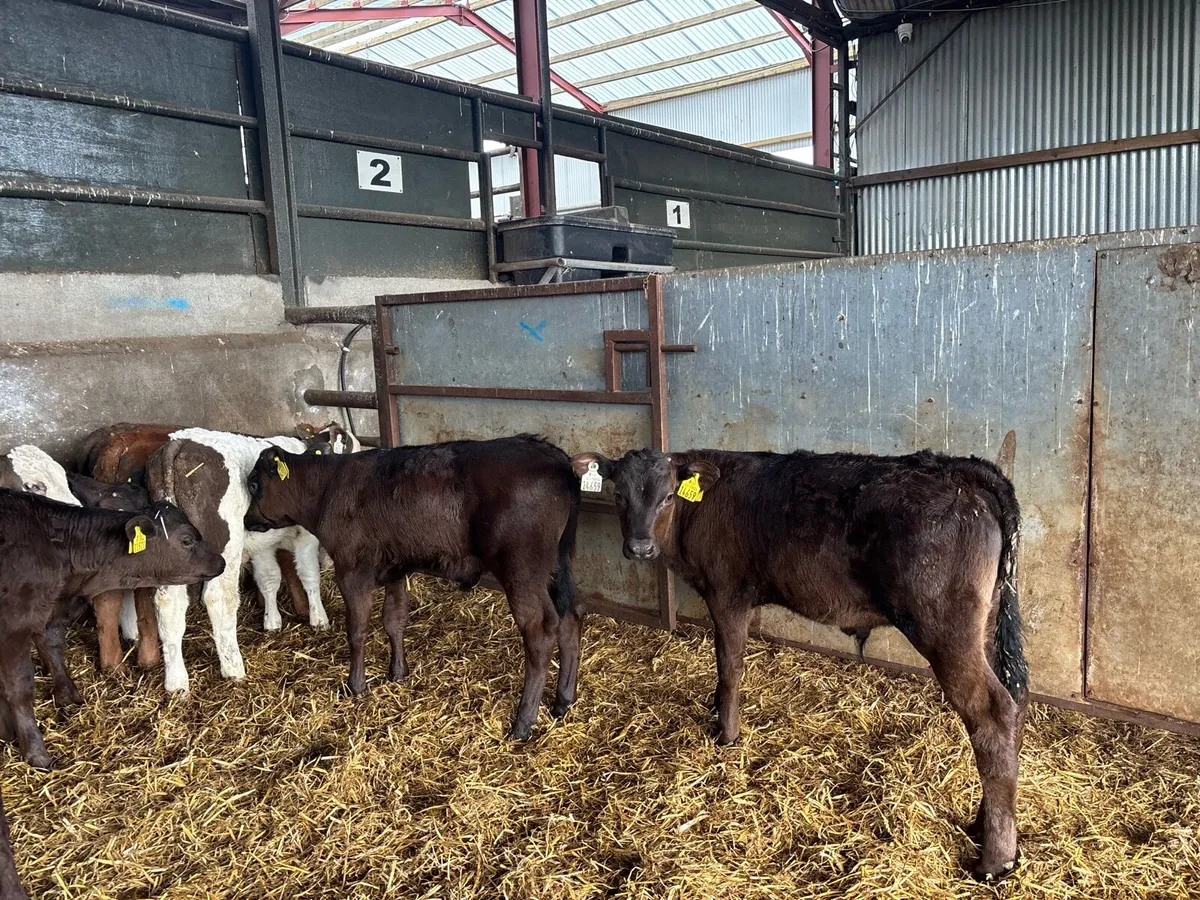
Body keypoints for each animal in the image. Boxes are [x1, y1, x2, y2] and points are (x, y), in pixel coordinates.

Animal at [0, 490, 224, 768]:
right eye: (187, 540)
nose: (221, 561)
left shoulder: (50, 611)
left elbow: (52, 648)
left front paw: (67, 697)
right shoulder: (14, 627)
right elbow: (20, 688)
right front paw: (36, 752)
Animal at [78, 423, 356, 674]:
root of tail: (179, 443)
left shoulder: (262, 545)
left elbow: (269, 578)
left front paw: (272, 621)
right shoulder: (306, 536)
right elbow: (309, 575)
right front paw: (319, 619)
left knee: (163, 602)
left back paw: (175, 680)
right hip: (224, 547)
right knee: (218, 598)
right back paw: (233, 668)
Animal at [244, 435, 582, 740]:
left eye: (254, 485)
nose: (247, 520)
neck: (328, 488)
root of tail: (552, 454)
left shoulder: (350, 570)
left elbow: (357, 631)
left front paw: (356, 685)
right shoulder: (394, 568)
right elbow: (394, 620)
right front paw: (397, 672)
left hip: (521, 570)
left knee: (540, 631)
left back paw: (523, 723)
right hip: (557, 568)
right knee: (570, 619)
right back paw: (563, 701)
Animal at [570, 446, 1028, 881]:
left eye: (667, 496)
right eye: (618, 494)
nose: (639, 547)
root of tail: (957, 469)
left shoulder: (728, 594)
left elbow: (729, 665)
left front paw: (727, 734)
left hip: (945, 628)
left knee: (992, 715)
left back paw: (996, 859)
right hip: (985, 625)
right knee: (1013, 707)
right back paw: (984, 823)